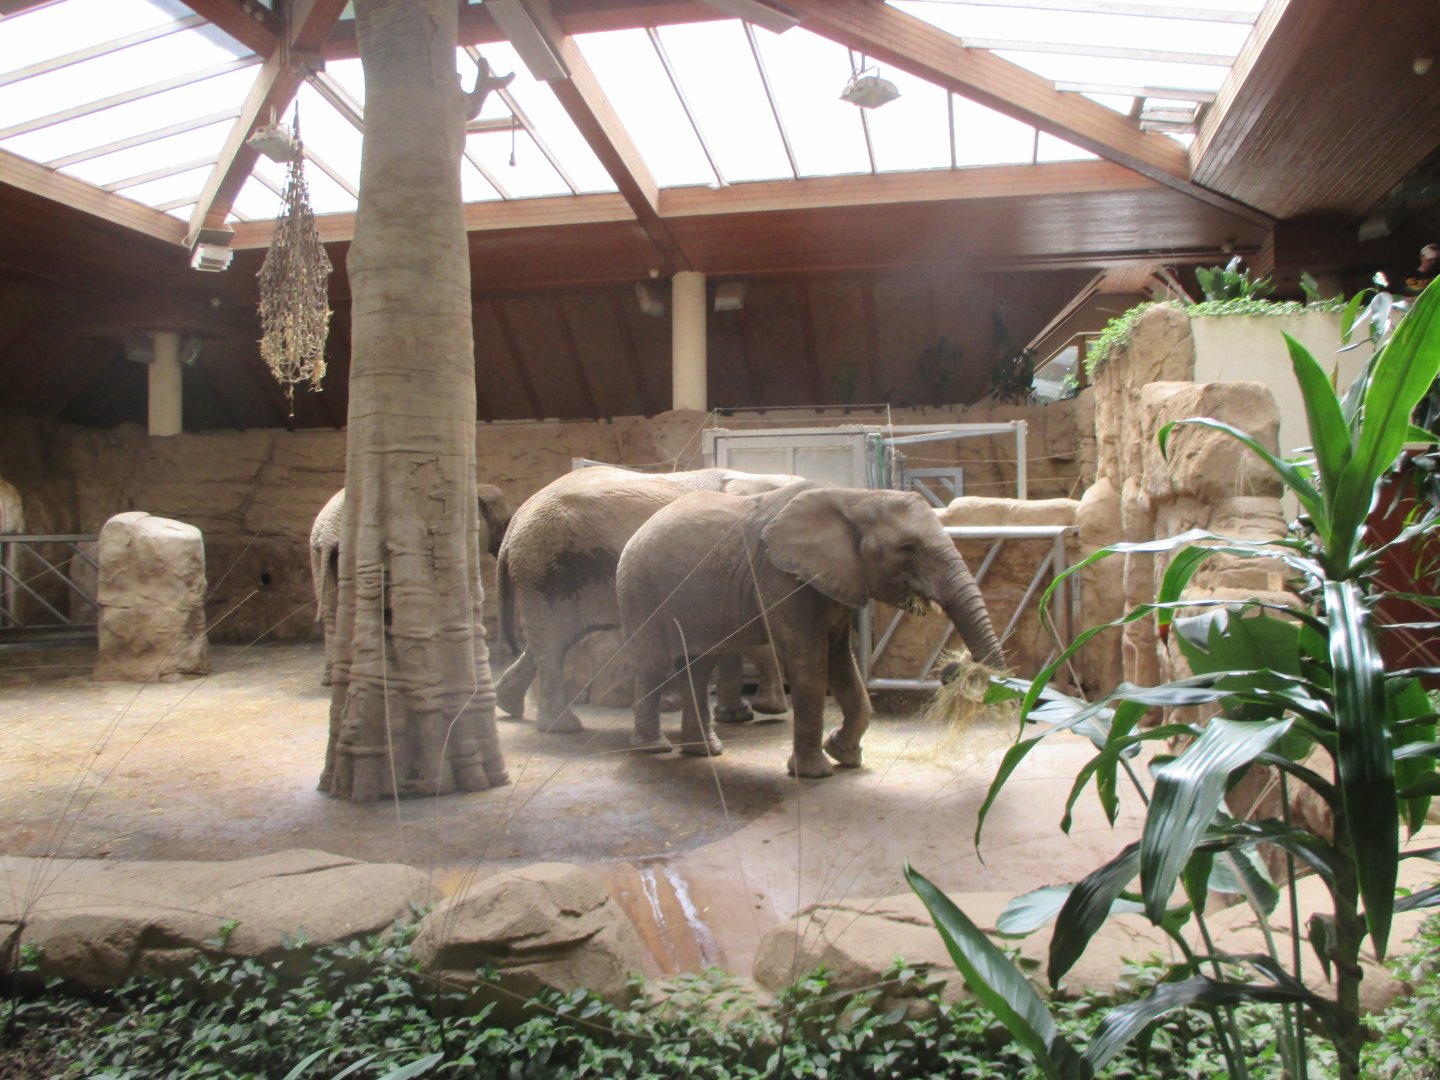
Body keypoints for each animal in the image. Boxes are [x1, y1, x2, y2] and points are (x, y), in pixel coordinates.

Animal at [494, 465, 803, 733]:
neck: (754, 477)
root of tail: (515, 524)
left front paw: (736, 716)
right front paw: (768, 709)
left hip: (548, 571)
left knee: (553, 638)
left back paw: (509, 705)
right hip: (550, 566)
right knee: (554, 642)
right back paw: (562, 727)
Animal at [615, 482, 1005, 778]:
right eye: (908, 548)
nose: (954, 669)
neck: (855, 497)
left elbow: (841, 664)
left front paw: (845, 755)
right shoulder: (782, 579)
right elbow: (810, 662)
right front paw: (815, 773)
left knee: (698, 665)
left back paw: (705, 752)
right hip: (640, 589)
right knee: (654, 665)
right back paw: (654, 748)